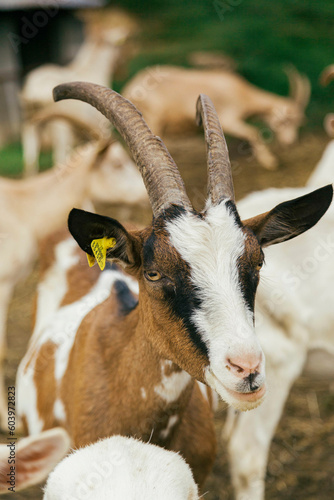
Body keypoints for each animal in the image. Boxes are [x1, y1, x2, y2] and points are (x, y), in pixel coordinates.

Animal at [20, 7, 137, 176]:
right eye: (120, 45)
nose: (122, 70)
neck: (91, 68)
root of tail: (33, 91)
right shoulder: (100, 127)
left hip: (30, 123)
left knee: (30, 161)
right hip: (60, 128)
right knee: (59, 156)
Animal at [123, 66, 310, 170]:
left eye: (299, 122)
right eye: (284, 120)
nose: (290, 142)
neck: (243, 94)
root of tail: (129, 88)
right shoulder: (228, 118)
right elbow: (252, 132)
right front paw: (270, 162)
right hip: (155, 117)